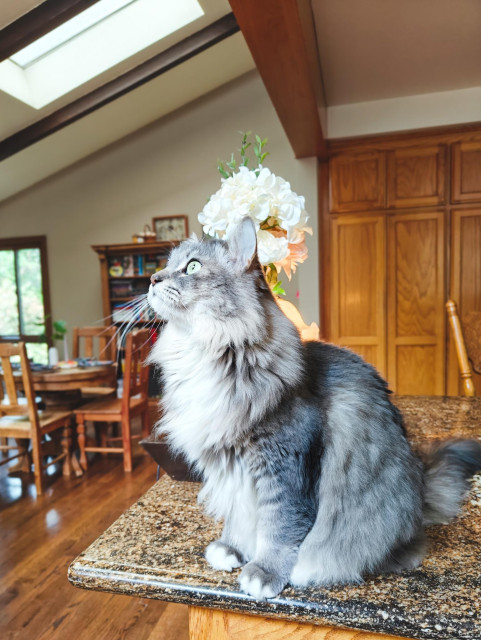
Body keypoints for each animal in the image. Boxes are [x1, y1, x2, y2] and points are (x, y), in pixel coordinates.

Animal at [146, 219, 480, 600]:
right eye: (168, 265)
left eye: (192, 267)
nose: (152, 279)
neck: (208, 352)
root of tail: (420, 489)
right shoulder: (232, 468)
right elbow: (238, 513)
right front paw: (231, 548)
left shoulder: (285, 464)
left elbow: (280, 526)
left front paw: (265, 571)